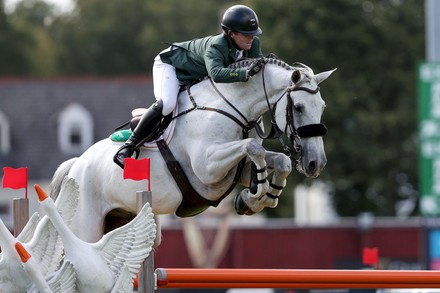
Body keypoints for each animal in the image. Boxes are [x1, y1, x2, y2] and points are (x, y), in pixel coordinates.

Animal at [49, 57, 336, 242]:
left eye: (322, 106)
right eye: (298, 107)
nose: (316, 163)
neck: (230, 107)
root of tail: (75, 165)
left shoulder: (235, 171)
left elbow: (279, 161)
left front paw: (255, 198)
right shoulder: (207, 169)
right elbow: (253, 146)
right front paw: (256, 194)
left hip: (120, 217)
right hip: (86, 226)